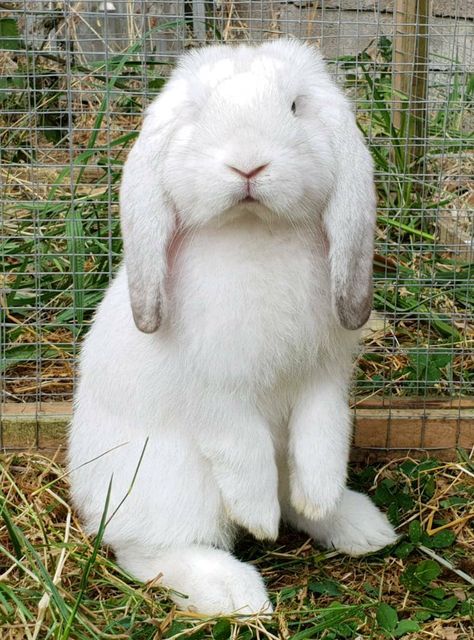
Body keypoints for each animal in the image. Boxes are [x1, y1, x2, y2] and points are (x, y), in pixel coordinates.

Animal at [68, 38, 398, 616]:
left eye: (295, 106)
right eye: (199, 112)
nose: (248, 164)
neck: (255, 232)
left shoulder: (324, 378)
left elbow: (324, 439)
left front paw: (321, 496)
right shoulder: (218, 395)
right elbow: (243, 452)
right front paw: (259, 521)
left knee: (296, 495)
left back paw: (357, 525)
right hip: (171, 485)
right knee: (148, 550)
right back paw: (237, 592)